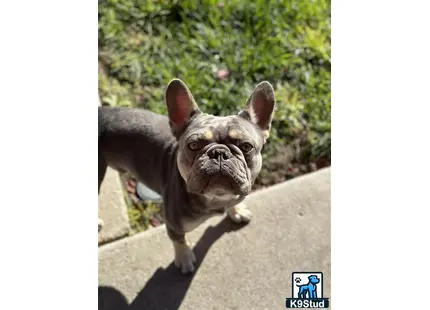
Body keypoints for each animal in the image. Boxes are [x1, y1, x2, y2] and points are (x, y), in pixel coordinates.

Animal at [98, 78, 276, 274]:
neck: (217, 198)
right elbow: (179, 241)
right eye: (193, 145)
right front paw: (184, 258)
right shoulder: (173, 225)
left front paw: (236, 210)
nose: (219, 153)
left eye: (246, 146)